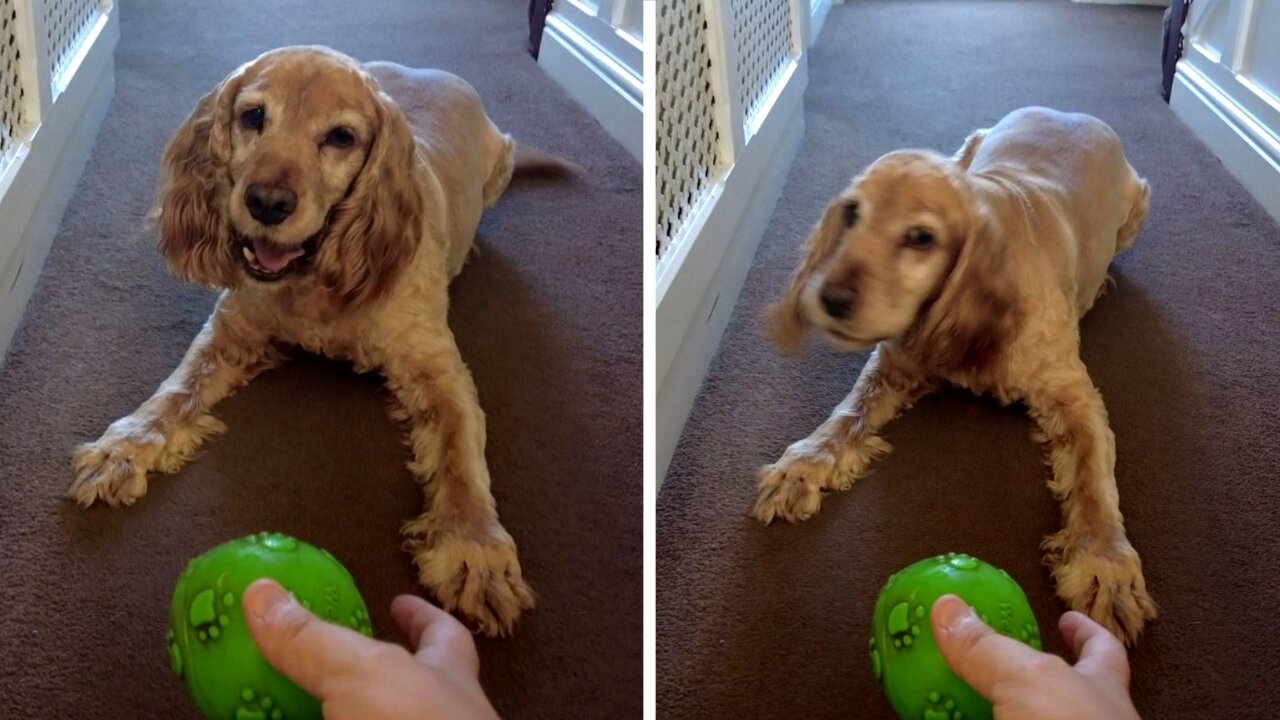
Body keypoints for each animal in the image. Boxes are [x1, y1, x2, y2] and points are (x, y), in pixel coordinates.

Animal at [66, 46, 570, 632]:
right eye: (253, 116)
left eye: (341, 137)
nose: (266, 201)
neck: (314, 277)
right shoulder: (232, 330)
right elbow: (174, 393)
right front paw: (122, 448)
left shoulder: (440, 369)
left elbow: (461, 459)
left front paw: (474, 551)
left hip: (502, 162)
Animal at [757, 105, 1162, 638]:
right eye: (851, 213)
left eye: (921, 237)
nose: (831, 298)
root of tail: (1071, 112)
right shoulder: (895, 362)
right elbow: (845, 416)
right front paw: (802, 465)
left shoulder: (1075, 394)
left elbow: (1094, 480)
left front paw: (1104, 564)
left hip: (1139, 204)